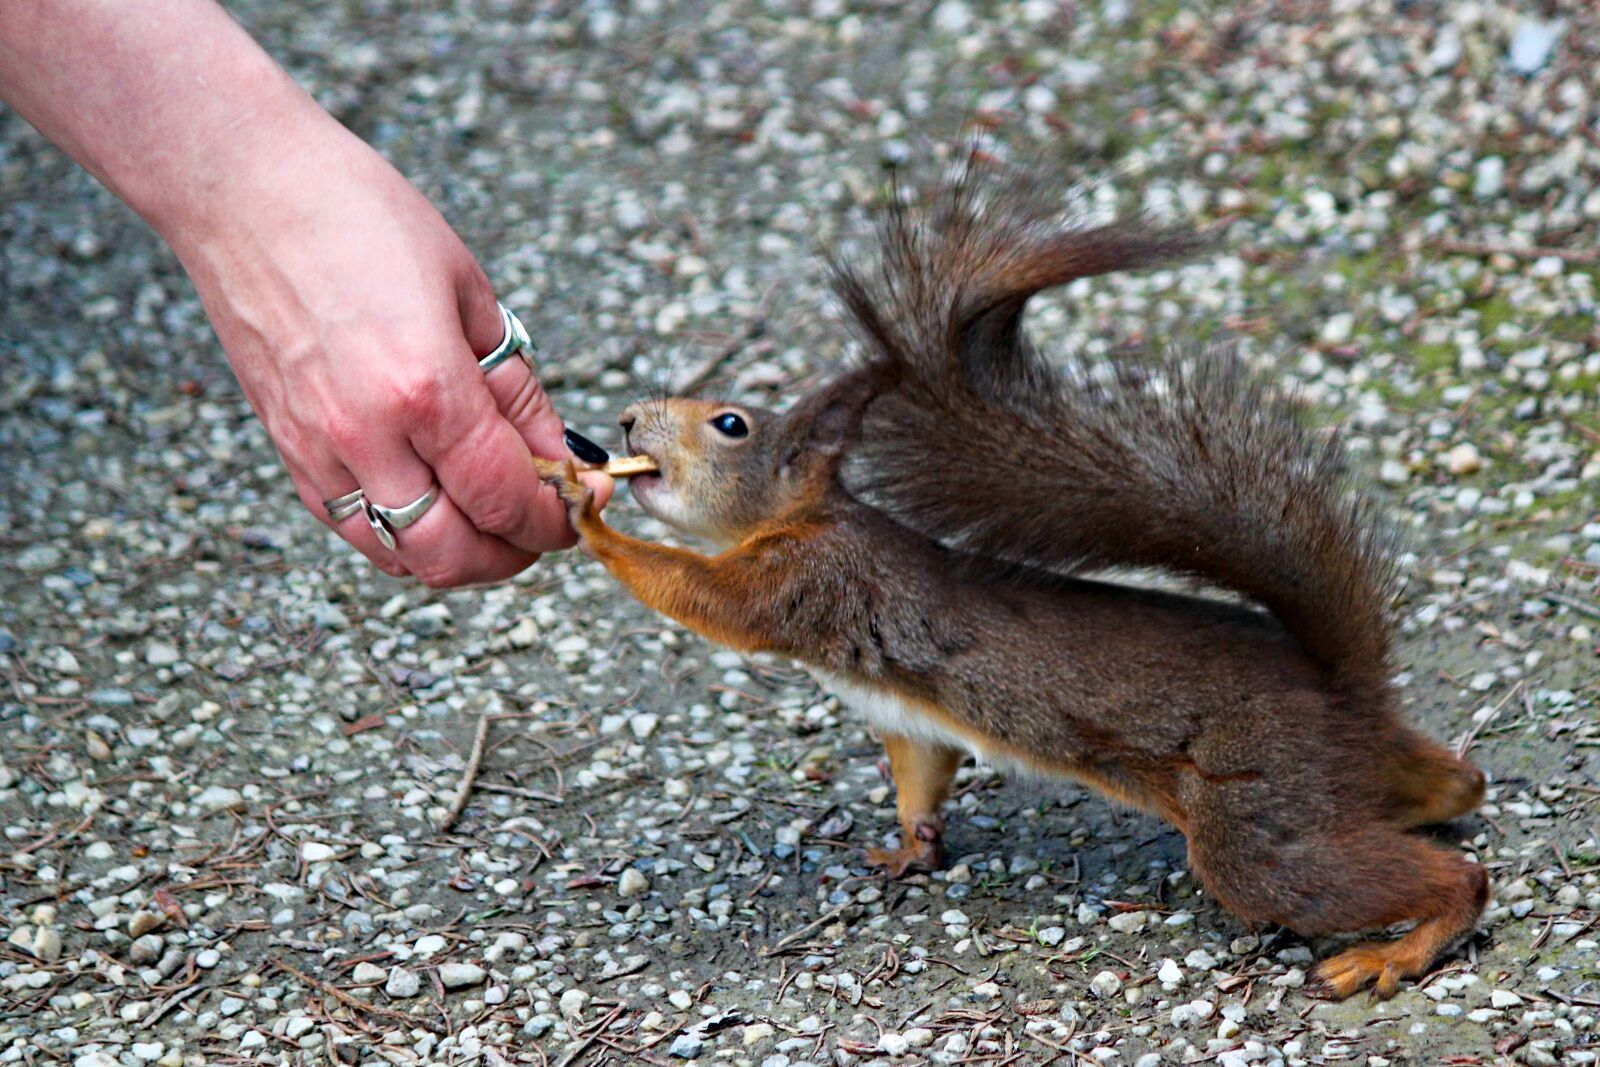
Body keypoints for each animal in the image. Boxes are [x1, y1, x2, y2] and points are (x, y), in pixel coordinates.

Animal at [534, 168, 1488, 1000]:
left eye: (730, 423)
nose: (626, 420)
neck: (801, 519)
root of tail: (1336, 692)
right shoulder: (905, 716)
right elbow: (922, 774)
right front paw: (911, 849)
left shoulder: (809, 580)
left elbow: (705, 597)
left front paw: (586, 510)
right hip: (1330, 784)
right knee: (1447, 787)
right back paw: (1446, 798)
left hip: (1255, 819)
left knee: (1437, 876)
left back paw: (1397, 949)